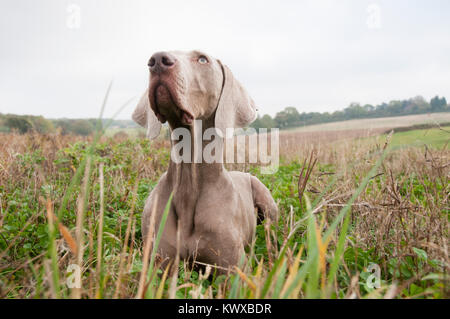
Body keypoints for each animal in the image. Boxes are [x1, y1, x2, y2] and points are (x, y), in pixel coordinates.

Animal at [132, 50, 276, 276]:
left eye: (202, 59)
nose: (157, 61)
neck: (188, 184)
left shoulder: (234, 269)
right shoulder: (158, 260)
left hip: (268, 201)